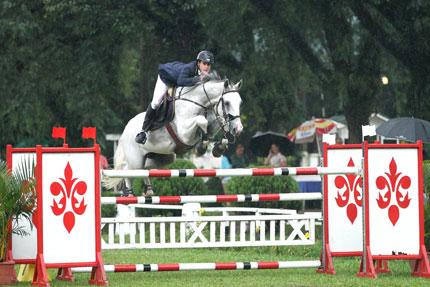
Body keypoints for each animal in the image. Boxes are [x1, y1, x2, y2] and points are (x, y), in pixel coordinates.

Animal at [105, 79, 242, 196]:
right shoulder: (184, 133)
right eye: (227, 103)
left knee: (145, 169)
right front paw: (201, 147)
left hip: (162, 158)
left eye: (240, 102)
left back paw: (148, 190)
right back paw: (129, 194)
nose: (239, 129)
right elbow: (202, 121)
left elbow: (213, 126)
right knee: (128, 170)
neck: (198, 103)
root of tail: (124, 131)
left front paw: (219, 147)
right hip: (135, 160)